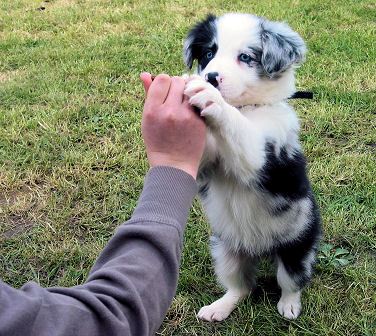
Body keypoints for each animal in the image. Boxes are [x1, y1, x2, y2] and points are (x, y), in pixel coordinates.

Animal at [182, 13, 320, 322]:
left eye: (245, 57)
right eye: (208, 54)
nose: (210, 77)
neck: (247, 108)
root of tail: (260, 250)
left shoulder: (263, 151)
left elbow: (241, 133)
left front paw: (208, 97)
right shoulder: (207, 165)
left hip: (297, 243)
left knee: (291, 280)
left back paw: (289, 305)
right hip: (225, 250)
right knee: (241, 287)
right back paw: (219, 307)